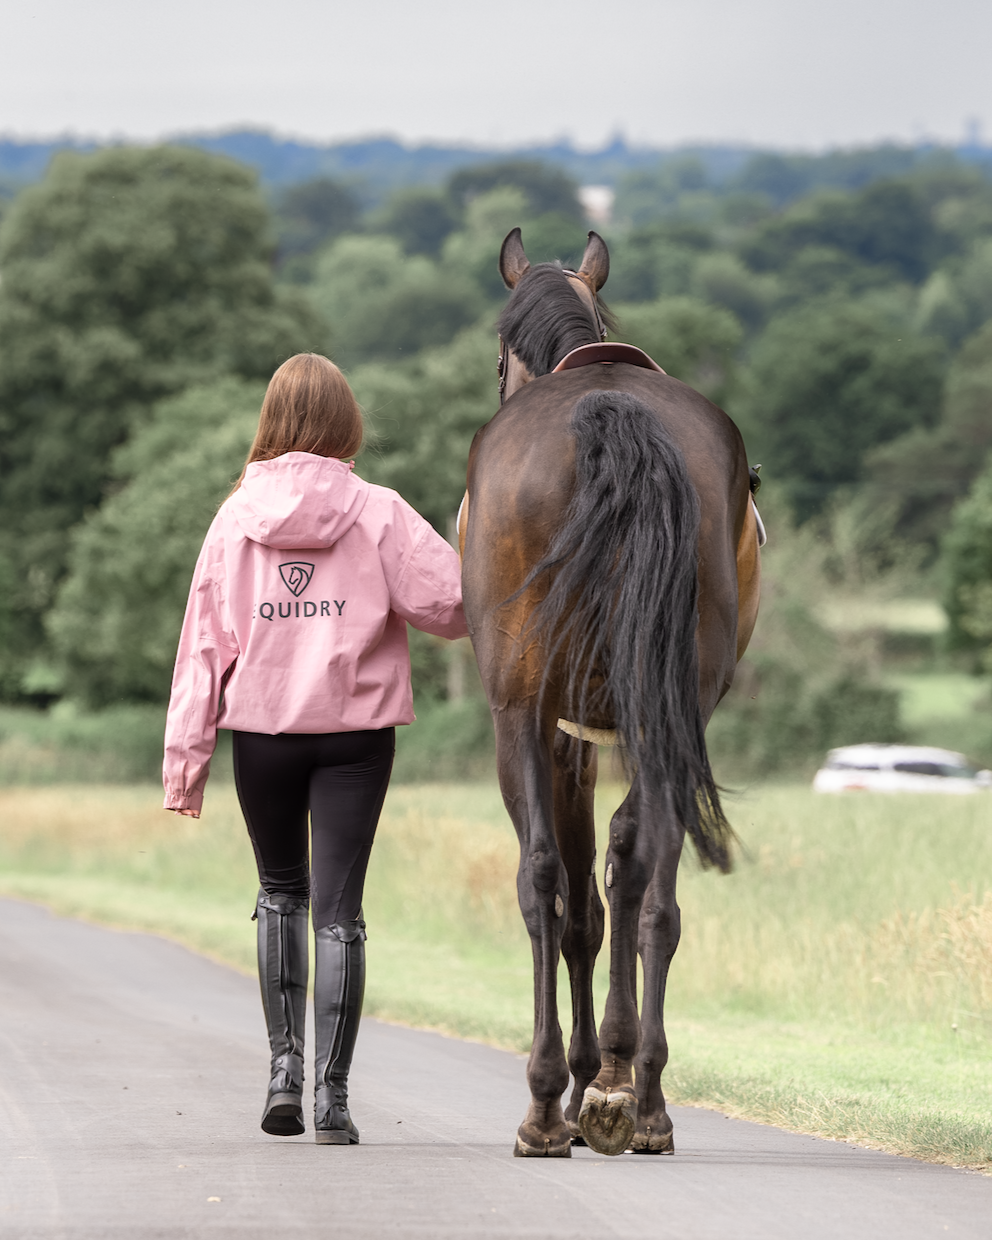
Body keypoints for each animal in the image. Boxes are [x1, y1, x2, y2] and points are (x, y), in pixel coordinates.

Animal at [458, 228, 762, 1158]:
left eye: (497, 355)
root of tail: (610, 412)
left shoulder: (560, 729)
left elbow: (577, 898)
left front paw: (590, 1077)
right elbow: (622, 871)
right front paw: (615, 1080)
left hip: (519, 707)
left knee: (543, 878)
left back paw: (547, 1103)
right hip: (670, 703)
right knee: (653, 875)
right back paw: (649, 1099)